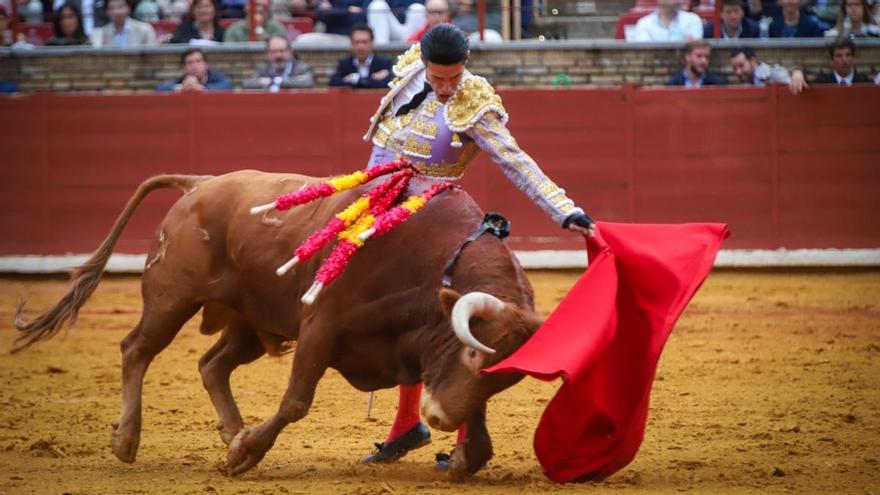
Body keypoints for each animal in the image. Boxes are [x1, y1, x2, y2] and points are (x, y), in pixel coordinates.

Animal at [13, 171, 544, 480]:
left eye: (502, 376)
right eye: (472, 351)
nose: (439, 419)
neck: (431, 256)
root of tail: (198, 184)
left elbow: (476, 423)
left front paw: (466, 455)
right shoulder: (321, 326)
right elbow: (296, 401)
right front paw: (248, 454)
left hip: (249, 322)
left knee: (212, 364)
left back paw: (231, 432)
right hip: (170, 298)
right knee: (135, 350)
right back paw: (127, 440)